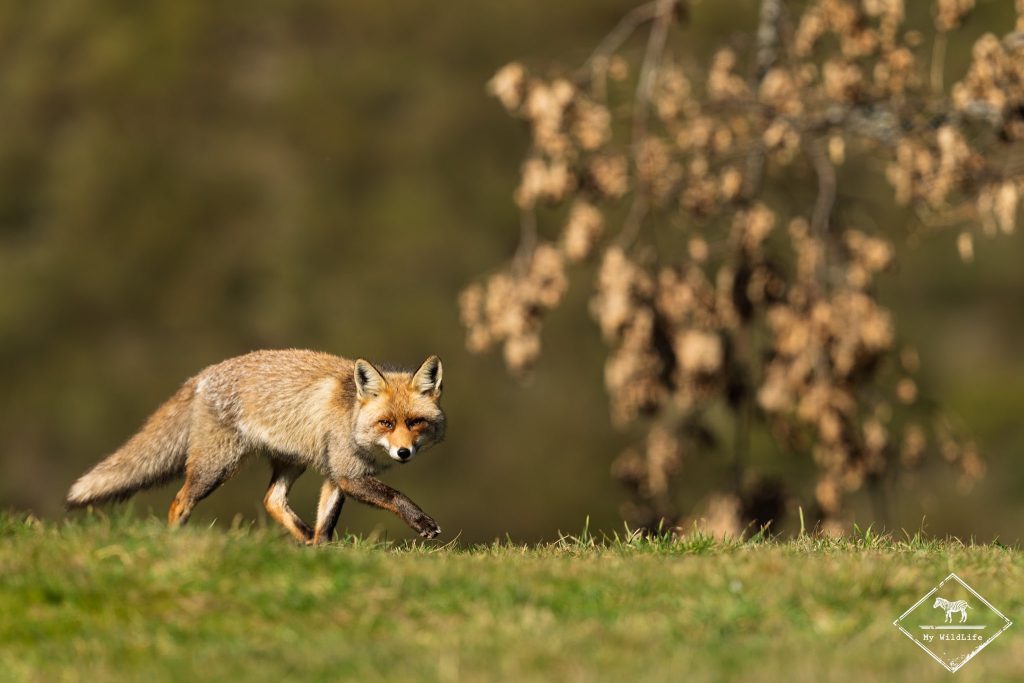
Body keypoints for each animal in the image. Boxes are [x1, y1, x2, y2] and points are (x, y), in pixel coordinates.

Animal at [66, 349, 445, 544]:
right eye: (386, 424)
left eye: (415, 423)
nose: (404, 453)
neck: (352, 417)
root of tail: (203, 373)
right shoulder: (348, 474)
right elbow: (395, 496)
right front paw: (422, 522)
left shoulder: (338, 473)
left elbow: (326, 523)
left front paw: (323, 552)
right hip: (217, 465)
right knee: (179, 502)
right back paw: (174, 543)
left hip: (292, 460)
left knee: (271, 500)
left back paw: (303, 538)